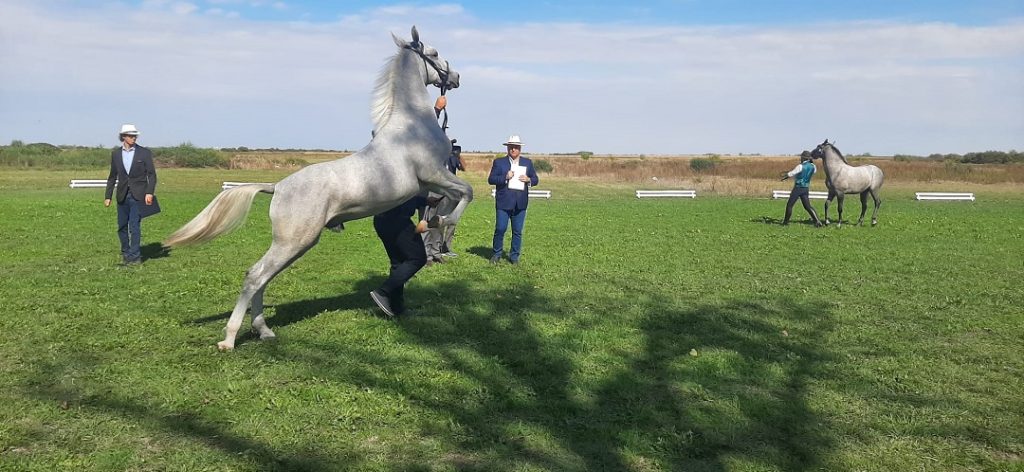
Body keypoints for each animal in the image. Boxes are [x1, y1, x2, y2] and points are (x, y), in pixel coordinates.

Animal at [165, 26, 473, 350]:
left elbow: (451, 197)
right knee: (255, 276)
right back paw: (230, 339)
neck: (411, 125)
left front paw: (434, 222)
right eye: (435, 53)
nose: (456, 77)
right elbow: (466, 193)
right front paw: (438, 222)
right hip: (294, 241)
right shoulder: (434, 173)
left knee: (262, 278)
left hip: (296, 244)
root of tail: (277, 187)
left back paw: (263, 330)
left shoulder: (432, 181)